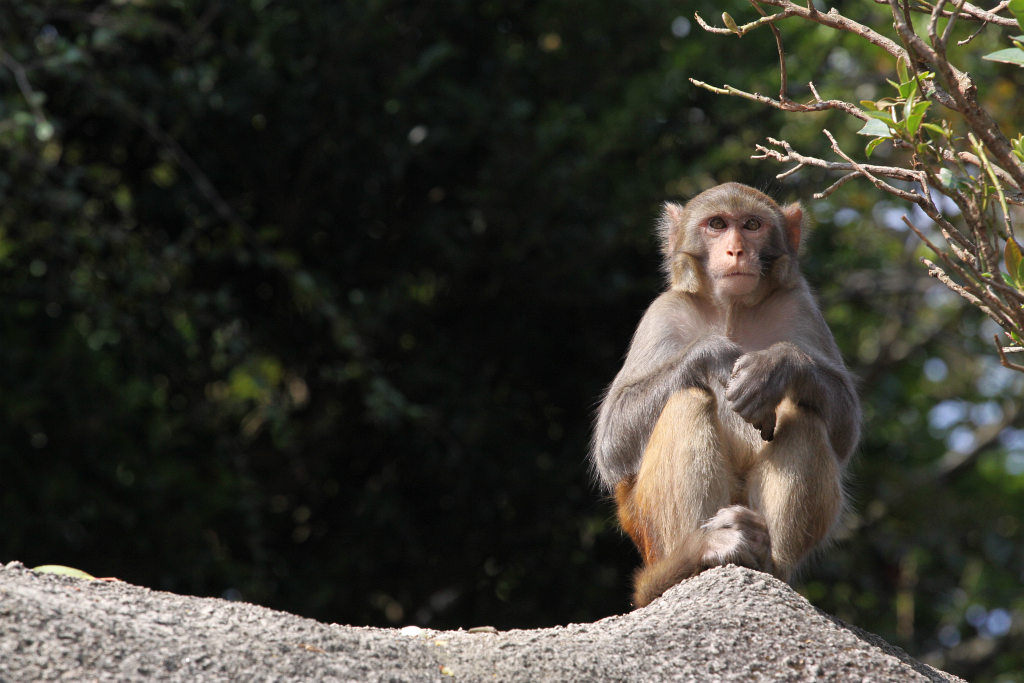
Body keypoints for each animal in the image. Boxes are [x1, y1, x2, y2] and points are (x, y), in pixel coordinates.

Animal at [589, 183, 860, 610]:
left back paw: (766, 561)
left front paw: (775, 367)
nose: (736, 250)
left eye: (751, 225)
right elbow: (612, 445)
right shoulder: (662, 313)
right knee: (688, 397)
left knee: (802, 411)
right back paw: (702, 552)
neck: (732, 311)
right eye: (716, 224)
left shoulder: (799, 306)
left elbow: (845, 424)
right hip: (644, 527)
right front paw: (712, 354)